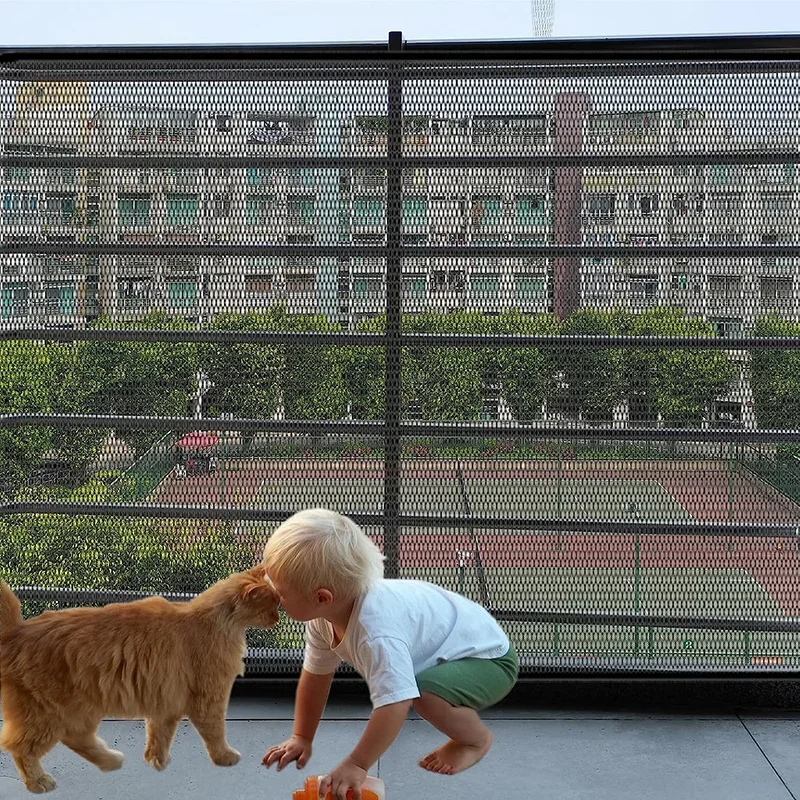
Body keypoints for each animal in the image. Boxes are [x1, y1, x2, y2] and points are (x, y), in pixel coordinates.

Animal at [0, 568, 280, 792]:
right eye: (272, 605)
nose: (278, 619)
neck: (214, 622)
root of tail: (18, 631)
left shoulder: (166, 703)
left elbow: (159, 737)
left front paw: (157, 761)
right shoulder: (209, 698)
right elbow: (215, 733)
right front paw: (224, 756)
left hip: (80, 711)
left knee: (76, 739)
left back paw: (111, 760)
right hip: (49, 715)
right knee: (19, 747)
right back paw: (38, 782)